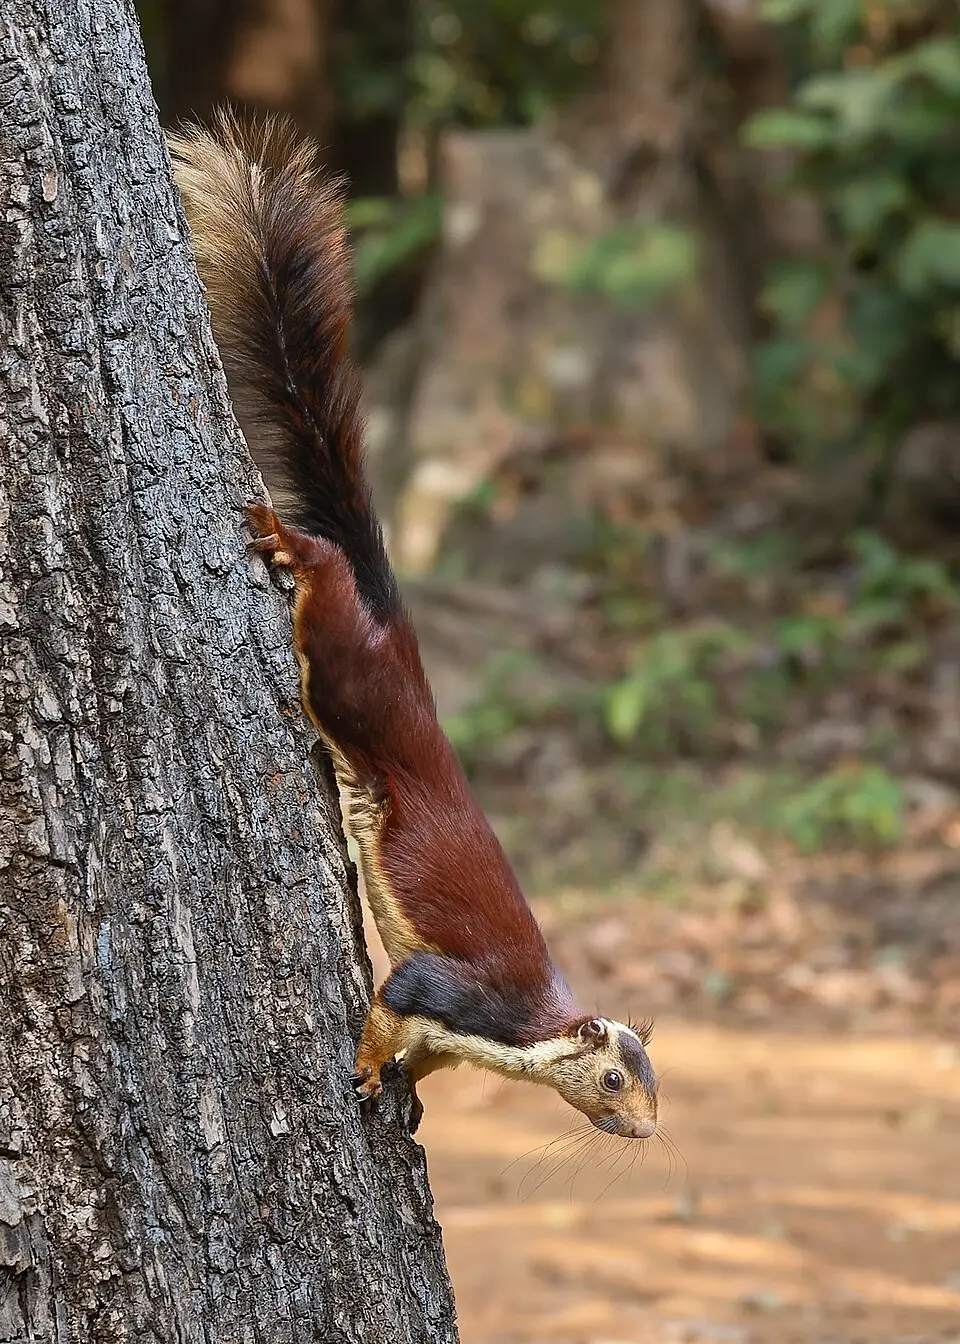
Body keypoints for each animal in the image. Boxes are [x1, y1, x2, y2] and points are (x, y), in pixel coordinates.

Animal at [169, 112, 658, 1141]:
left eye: (656, 1085)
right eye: (611, 1080)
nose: (645, 1131)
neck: (529, 1034)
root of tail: (398, 635)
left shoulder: (454, 1035)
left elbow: (424, 1058)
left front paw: (412, 1095)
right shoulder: (457, 993)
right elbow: (397, 1001)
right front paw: (364, 1068)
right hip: (348, 670)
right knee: (326, 592)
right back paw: (295, 544)